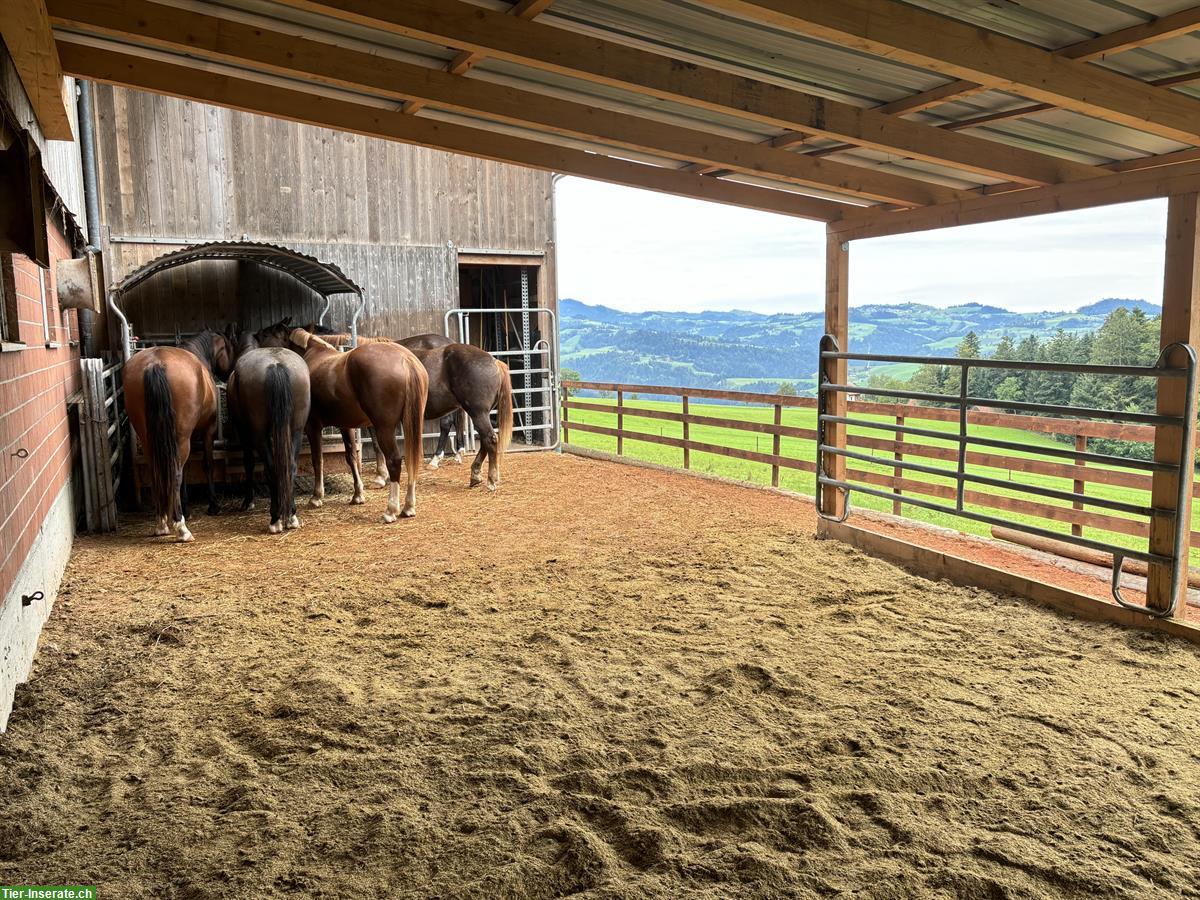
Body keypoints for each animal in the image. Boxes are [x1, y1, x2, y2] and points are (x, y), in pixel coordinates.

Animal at [122, 328, 234, 542]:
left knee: (158, 472)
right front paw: (213, 505)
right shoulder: (207, 431)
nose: (228, 372)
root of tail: (155, 363)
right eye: (228, 348)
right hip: (181, 439)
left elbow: (188, 469)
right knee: (175, 473)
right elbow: (206, 465)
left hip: (150, 439)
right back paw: (181, 527)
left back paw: (161, 523)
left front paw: (187, 508)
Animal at [224, 331, 309, 535]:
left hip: (259, 433)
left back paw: (275, 519)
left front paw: (248, 501)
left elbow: (248, 463)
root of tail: (276, 365)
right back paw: (291, 515)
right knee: (290, 466)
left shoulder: (244, 431)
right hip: (296, 429)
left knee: (271, 468)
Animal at [253, 326, 427, 525]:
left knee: (394, 461)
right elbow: (351, 457)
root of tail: (406, 359)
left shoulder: (313, 426)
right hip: (410, 424)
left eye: (267, 334)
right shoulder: (346, 426)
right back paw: (408, 507)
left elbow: (317, 460)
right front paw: (357, 495)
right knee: (411, 460)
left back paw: (391, 510)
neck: (312, 354)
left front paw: (316, 497)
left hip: (385, 428)